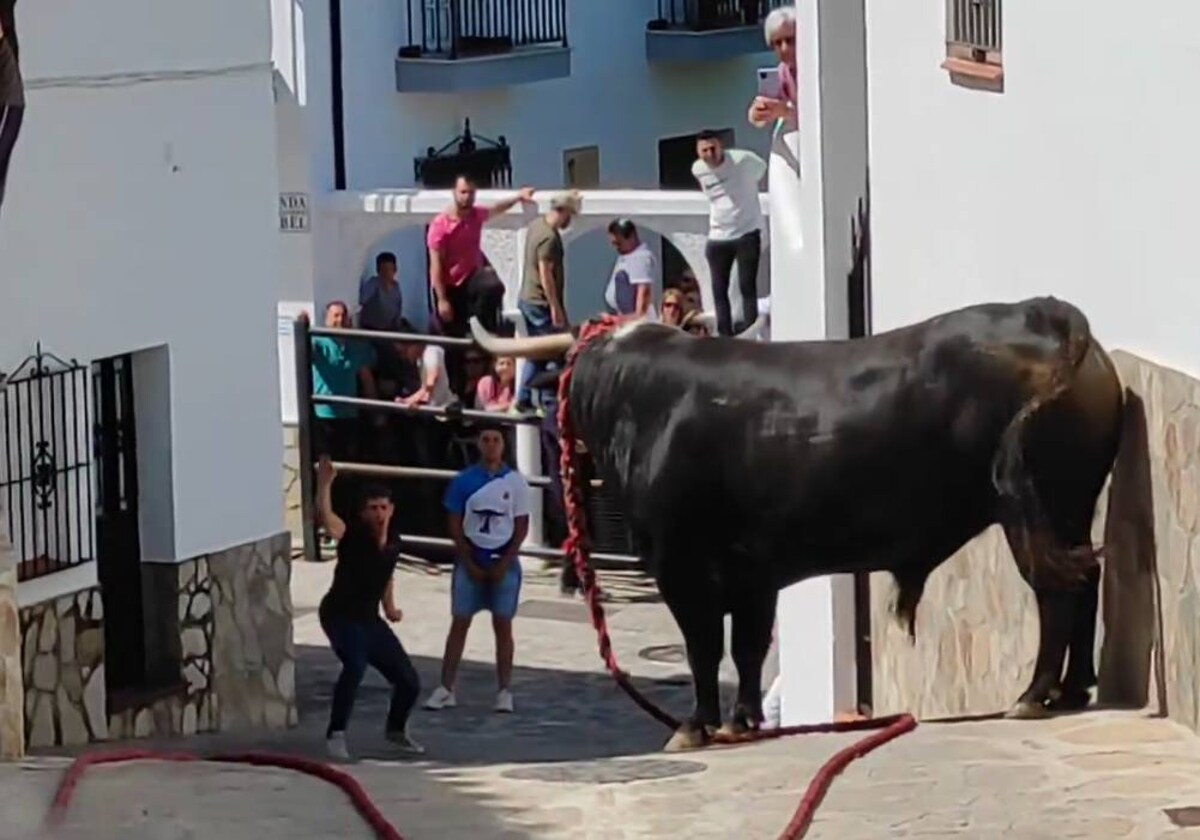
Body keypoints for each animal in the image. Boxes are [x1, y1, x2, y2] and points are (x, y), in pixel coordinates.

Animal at [470, 296, 1123, 753]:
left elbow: (705, 647)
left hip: (1031, 512)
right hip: (1069, 508)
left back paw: (1033, 694)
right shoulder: (752, 574)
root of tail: (1048, 314)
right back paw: (1073, 688)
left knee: (1056, 594)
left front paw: (697, 725)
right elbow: (749, 647)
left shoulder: (680, 565)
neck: (643, 399)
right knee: (1086, 580)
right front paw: (744, 720)